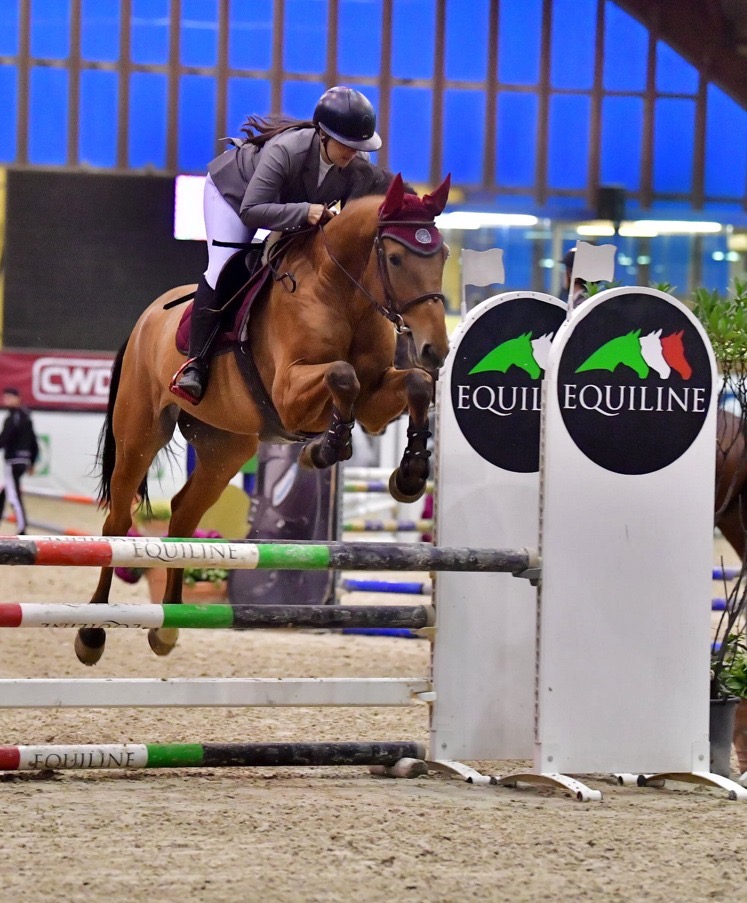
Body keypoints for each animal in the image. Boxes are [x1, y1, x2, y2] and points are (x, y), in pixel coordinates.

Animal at [74, 173, 451, 665]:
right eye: (394, 257)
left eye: (443, 255)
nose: (435, 349)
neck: (341, 292)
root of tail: (145, 320)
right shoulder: (290, 395)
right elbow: (341, 375)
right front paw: (324, 448)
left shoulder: (374, 402)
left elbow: (415, 386)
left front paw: (410, 474)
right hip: (140, 435)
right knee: (117, 523)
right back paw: (92, 632)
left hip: (226, 448)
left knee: (182, 515)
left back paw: (168, 625)